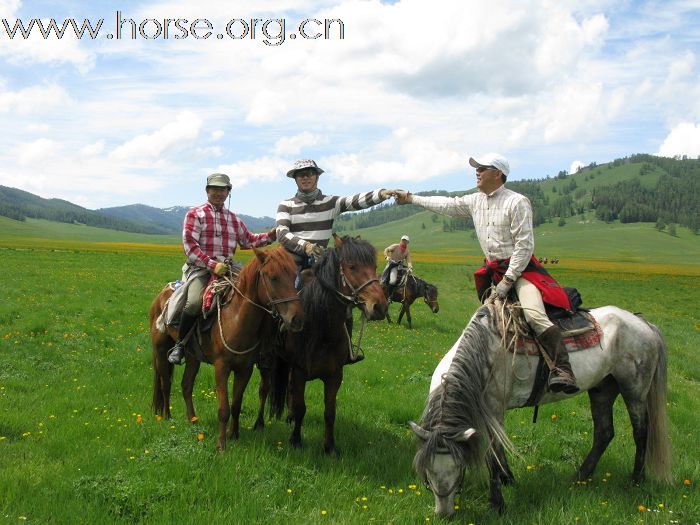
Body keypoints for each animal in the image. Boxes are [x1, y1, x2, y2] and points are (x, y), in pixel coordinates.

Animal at [150, 247, 304, 450]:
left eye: (295, 276)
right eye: (273, 278)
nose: (297, 319)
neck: (236, 318)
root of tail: (161, 295)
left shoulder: (244, 369)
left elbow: (236, 404)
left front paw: (234, 435)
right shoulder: (221, 368)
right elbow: (224, 408)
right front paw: (221, 444)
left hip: (193, 357)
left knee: (186, 385)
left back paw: (193, 419)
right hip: (160, 350)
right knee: (165, 383)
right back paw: (168, 416)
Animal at [268, 235, 388, 456]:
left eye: (374, 266)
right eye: (352, 267)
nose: (379, 307)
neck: (321, 329)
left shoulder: (335, 375)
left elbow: (330, 412)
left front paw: (330, 447)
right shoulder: (299, 371)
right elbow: (301, 408)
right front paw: (296, 440)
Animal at [410, 302, 672, 516]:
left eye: (458, 468)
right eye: (427, 471)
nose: (444, 513)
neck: (484, 356)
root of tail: (643, 323)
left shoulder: (494, 408)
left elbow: (493, 455)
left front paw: (497, 504)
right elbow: (499, 451)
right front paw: (508, 479)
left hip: (634, 390)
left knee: (640, 432)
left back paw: (636, 480)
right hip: (602, 389)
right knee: (604, 433)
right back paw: (580, 477)